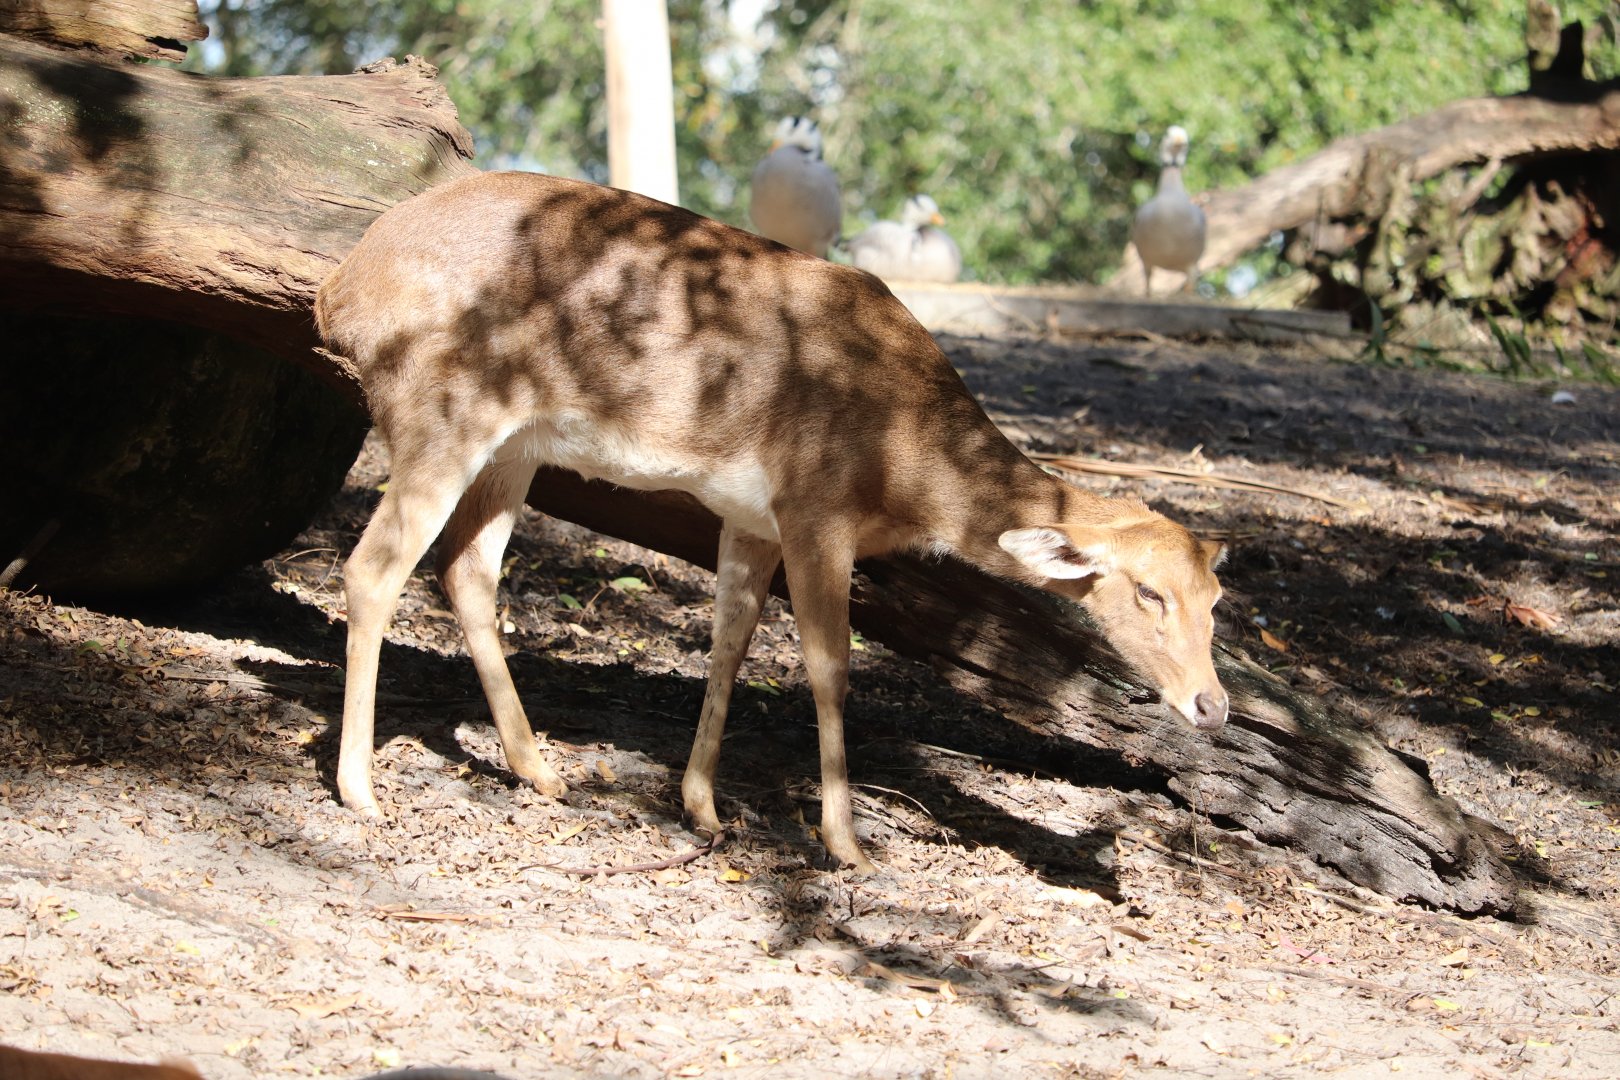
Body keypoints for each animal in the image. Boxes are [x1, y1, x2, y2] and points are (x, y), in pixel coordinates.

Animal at [314, 171, 1229, 874]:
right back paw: (361, 790)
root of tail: (340, 292)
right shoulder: (815, 504)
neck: (906, 458)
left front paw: (703, 808)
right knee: (373, 567)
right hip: (442, 414)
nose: (1213, 705)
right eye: (1148, 593)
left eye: (1216, 600)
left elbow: (730, 642)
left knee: (465, 568)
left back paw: (541, 770)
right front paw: (846, 844)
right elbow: (828, 667)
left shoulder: (747, 515)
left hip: (515, 448)